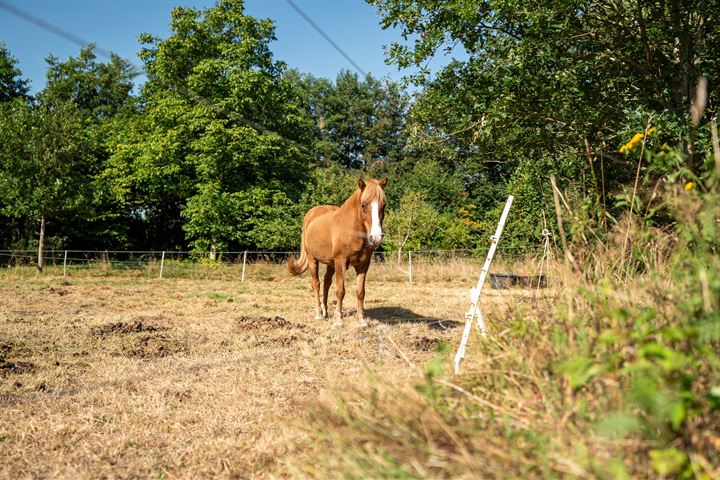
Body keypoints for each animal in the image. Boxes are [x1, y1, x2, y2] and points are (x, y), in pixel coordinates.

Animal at [286, 178, 388, 328]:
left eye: (383, 205)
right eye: (363, 205)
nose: (376, 237)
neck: (351, 230)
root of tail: (310, 215)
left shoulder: (363, 265)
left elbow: (360, 292)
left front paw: (361, 320)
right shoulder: (341, 261)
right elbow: (340, 290)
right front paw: (338, 320)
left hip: (330, 263)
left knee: (326, 283)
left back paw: (325, 312)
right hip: (312, 259)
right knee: (316, 284)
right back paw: (318, 314)